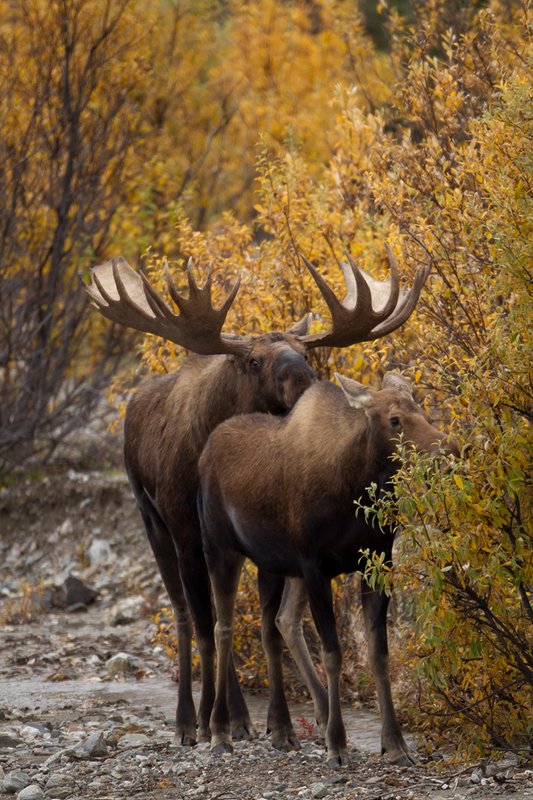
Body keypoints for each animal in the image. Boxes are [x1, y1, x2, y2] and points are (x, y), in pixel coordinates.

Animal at [84, 246, 430, 749]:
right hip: (154, 522)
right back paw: (192, 717)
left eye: (305, 351)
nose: (305, 380)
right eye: (252, 361)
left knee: (261, 620)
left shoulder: (268, 540)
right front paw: (209, 720)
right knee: (186, 616)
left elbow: (265, 627)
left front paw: (277, 723)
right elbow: (207, 628)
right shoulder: (190, 533)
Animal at [198, 372, 459, 767]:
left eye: (421, 409)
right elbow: (333, 654)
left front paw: (395, 743)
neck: (355, 489)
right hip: (221, 549)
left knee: (278, 623)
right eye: (394, 419)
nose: (449, 450)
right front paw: (337, 743)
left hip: (275, 564)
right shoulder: (315, 566)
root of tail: (205, 449)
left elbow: (378, 654)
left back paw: (285, 729)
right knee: (223, 627)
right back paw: (220, 731)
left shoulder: (376, 562)